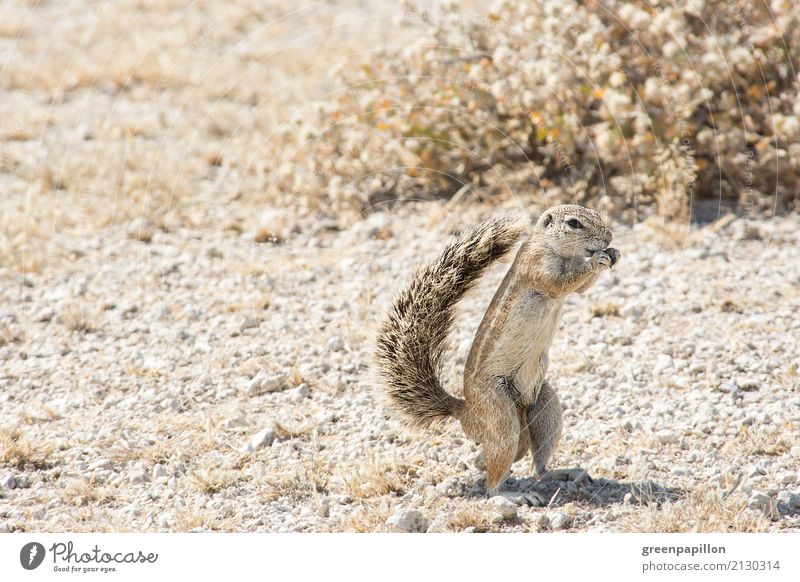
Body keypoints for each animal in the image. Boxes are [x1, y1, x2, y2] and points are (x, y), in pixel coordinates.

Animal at [376, 203, 620, 496]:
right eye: (574, 223)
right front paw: (597, 260)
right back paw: (510, 495)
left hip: (545, 404)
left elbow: (582, 288)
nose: (608, 237)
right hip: (499, 411)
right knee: (494, 482)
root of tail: (466, 411)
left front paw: (614, 254)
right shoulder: (537, 266)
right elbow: (562, 284)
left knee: (536, 467)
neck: (555, 249)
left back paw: (562, 473)